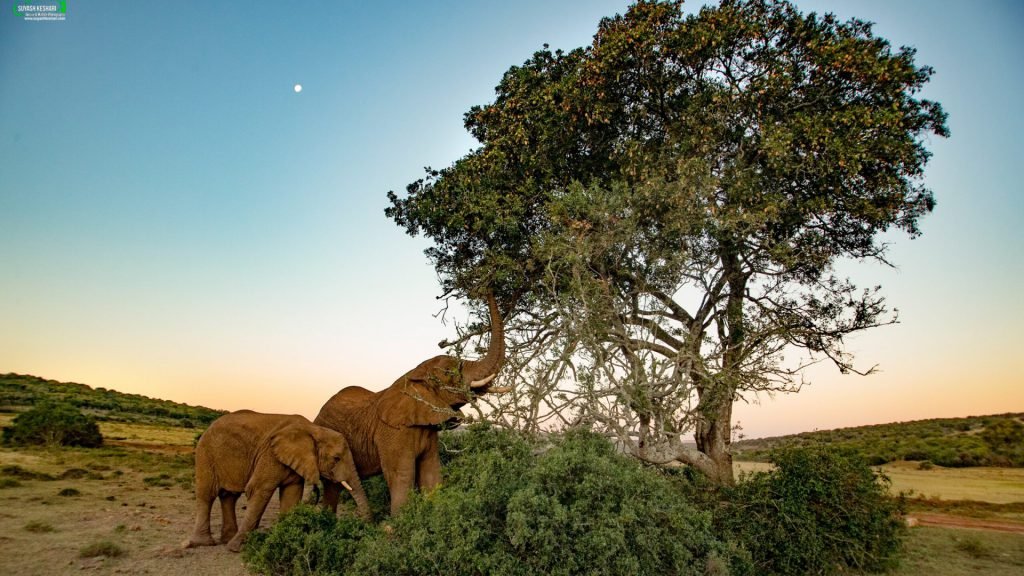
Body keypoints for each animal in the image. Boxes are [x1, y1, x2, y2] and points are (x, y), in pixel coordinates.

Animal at [185, 410, 370, 552]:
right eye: (336, 459)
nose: (366, 526)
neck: (314, 429)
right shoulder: (270, 454)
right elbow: (258, 489)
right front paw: (236, 549)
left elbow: (291, 495)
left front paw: (286, 540)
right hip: (205, 454)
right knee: (206, 495)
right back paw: (204, 543)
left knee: (229, 496)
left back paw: (227, 539)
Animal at [315, 291, 509, 516]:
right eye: (449, 373)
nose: (485, 288)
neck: (415, 374)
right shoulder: (392, 433)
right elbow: (402, 474)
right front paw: (400, 521)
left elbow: (431, 472)